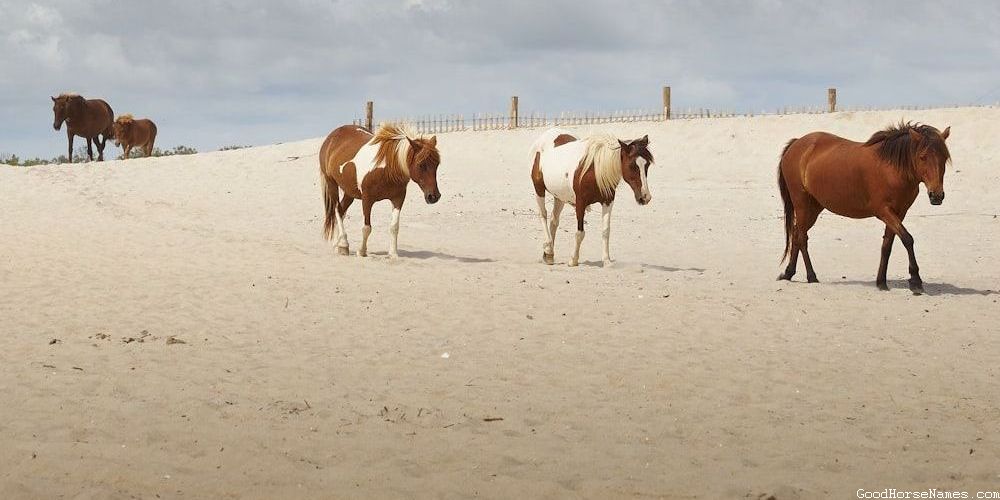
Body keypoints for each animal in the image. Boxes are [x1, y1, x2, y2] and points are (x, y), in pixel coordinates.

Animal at [319, 123, 441, 258]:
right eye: (421, 165)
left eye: (437, 164)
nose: (434, 196)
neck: (388, 169)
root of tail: (331, 138)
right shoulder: (367, 200)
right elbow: (367, 228)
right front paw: (362, 251)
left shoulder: (398, 198)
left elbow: (394, 227)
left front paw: (393, 254)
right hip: (331, 184)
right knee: (337, 210)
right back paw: (344, 244)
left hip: (349, 192)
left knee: (341, 212)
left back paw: (338, 245)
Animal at [530, 127, 654, 267]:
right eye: (632, 166)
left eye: (647, 165)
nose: (645, 197)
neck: (594, 171)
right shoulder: (580, 203)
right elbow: (580, 233)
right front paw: (573, 260)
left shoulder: (608, 202)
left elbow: (606, 231)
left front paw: (607, 260)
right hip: (539, 189)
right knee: (543, 215)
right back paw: (548, 248)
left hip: (560, 196)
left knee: (554, 220)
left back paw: (549, 254)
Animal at [777, 122, 951, 294]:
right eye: (922, 157)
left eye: (944, 157)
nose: (936, 195)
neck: (892, 169)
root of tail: (797, 144)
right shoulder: (884, 211)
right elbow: (907, 239)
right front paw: (915, 281)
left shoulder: (899, 213)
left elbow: (887, 246)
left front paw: (881, 282)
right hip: (802, 204)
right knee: (801, 237)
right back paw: (811, 276)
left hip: (813, 208)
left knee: (797, 233)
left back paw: (789, 272)